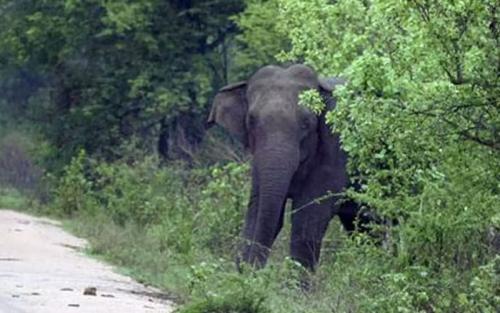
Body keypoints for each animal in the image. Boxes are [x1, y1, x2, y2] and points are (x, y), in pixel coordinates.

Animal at [205, 64, 366, 270]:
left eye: (307, 123)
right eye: (251, 120)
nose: (250, 268)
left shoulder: (337, 148)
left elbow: (308, 219)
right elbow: (257, 208)